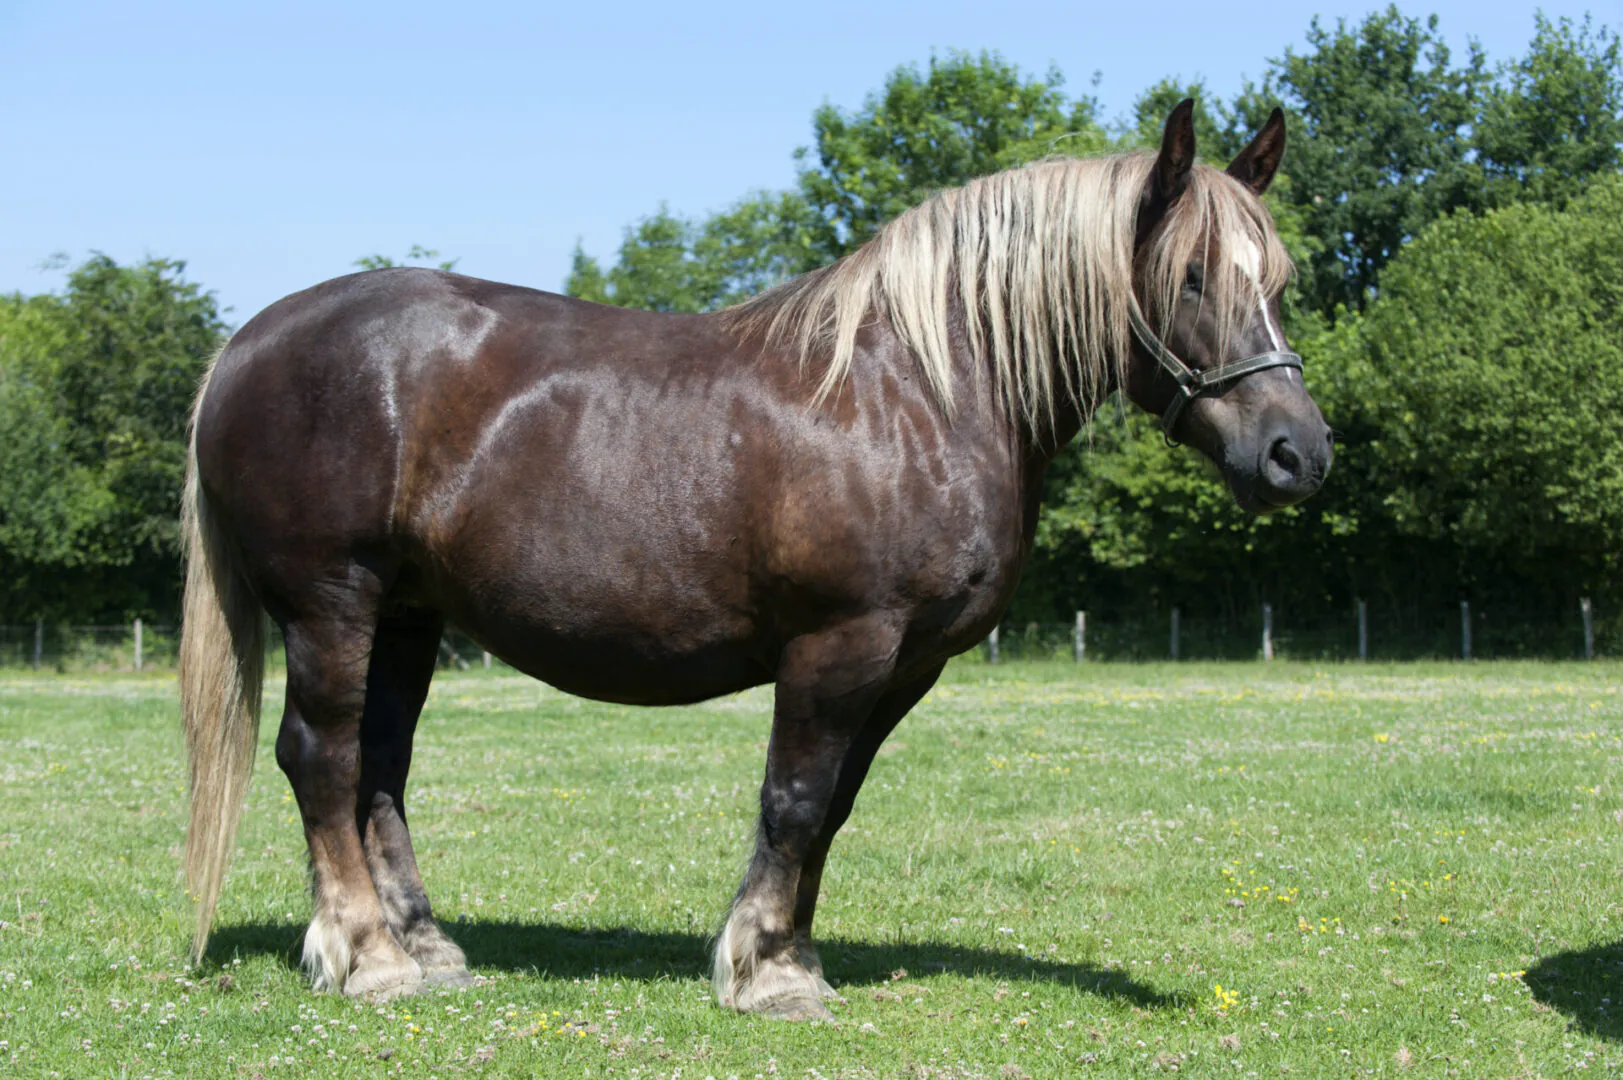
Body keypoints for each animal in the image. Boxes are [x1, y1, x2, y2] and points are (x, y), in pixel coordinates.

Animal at [180, 103, 1330, 1019]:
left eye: (1274, 279)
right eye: (1190, 277)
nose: (1297, 453)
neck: (921, 391)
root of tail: (247, 344)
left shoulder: (904, 665)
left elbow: (831, 809)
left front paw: (789, 956)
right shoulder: (839, 643)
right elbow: (796, 799)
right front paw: (770, 974)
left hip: (408, 615)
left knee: (380, 769)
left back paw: (425, 948)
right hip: (334, 604)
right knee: (322, 759)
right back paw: (367, 957)